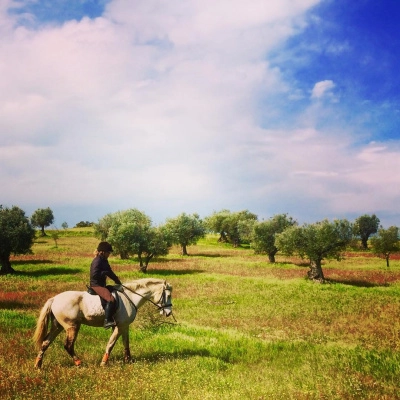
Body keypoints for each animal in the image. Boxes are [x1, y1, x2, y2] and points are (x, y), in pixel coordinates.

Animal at [33, 278, 173, 368]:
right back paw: (79, 363)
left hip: (58, 326)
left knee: (46, 342)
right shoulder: (119, 327)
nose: (168, 312)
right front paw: (104, 363)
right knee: (68, 345)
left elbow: (126, 343)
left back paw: (38, 365)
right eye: (169, 295)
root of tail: (54, 299)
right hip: (72, 326)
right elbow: (111, 343)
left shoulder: (124, 326)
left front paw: (129, 360)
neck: (130, 297)